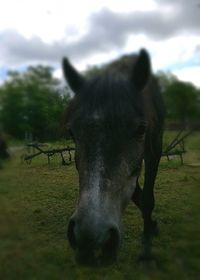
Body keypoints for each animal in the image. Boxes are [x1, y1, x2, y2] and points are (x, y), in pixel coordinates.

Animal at [63, 48, 166, 264]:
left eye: (141, 129)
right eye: (72, 132)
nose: (90, 240)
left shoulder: (154, 150)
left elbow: (146, 200)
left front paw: (146, 253)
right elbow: (137, 194)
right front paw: (151, 226)